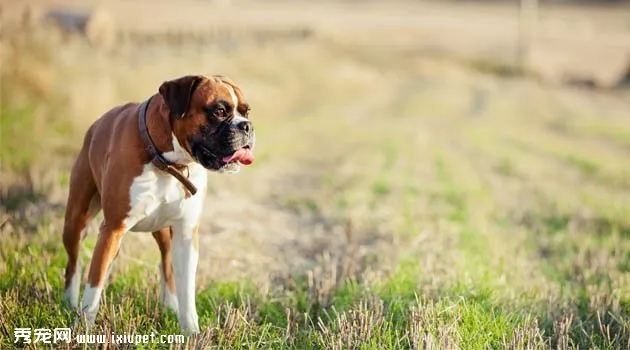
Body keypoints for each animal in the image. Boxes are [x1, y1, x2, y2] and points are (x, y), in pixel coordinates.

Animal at [61, 74, 254, 334]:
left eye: (246, 111)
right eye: (219, 111)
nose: (247, 126)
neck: (168, 163)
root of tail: (95, 126)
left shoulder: (185, 235)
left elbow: (187, 291)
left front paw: (192, 333)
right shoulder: (112, 228)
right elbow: (94, 284)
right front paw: (82, 329)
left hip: (163, 233)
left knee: (166, 266)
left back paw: (169, 306)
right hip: (76, 222)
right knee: (74, 264)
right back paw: (70, 303)